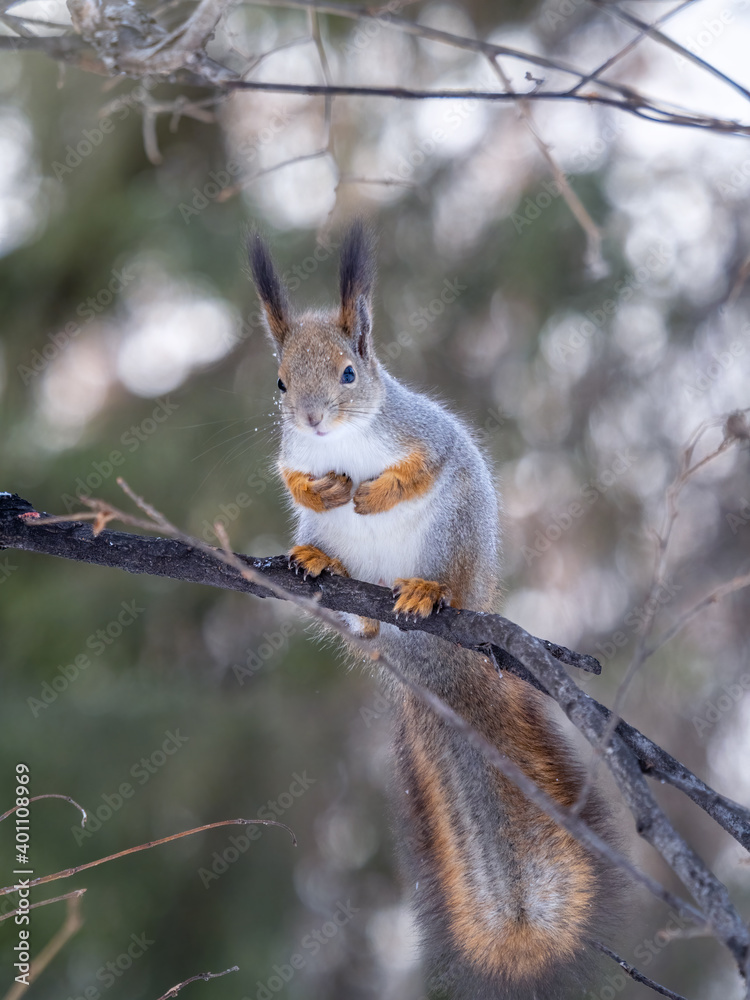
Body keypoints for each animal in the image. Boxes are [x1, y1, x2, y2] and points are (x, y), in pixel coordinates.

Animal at [248, 222, 621, 1000]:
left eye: (350, 374)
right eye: (280, 382)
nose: (312, 419)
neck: (344, 442)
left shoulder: (428, 434)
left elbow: (424, 462)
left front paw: (375, 492)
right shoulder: (292, 455)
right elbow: (292, 475)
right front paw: (327, 488)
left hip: (454, 536)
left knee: (440, 572)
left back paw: (425, 592)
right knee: (348, 593)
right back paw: (328, 568)